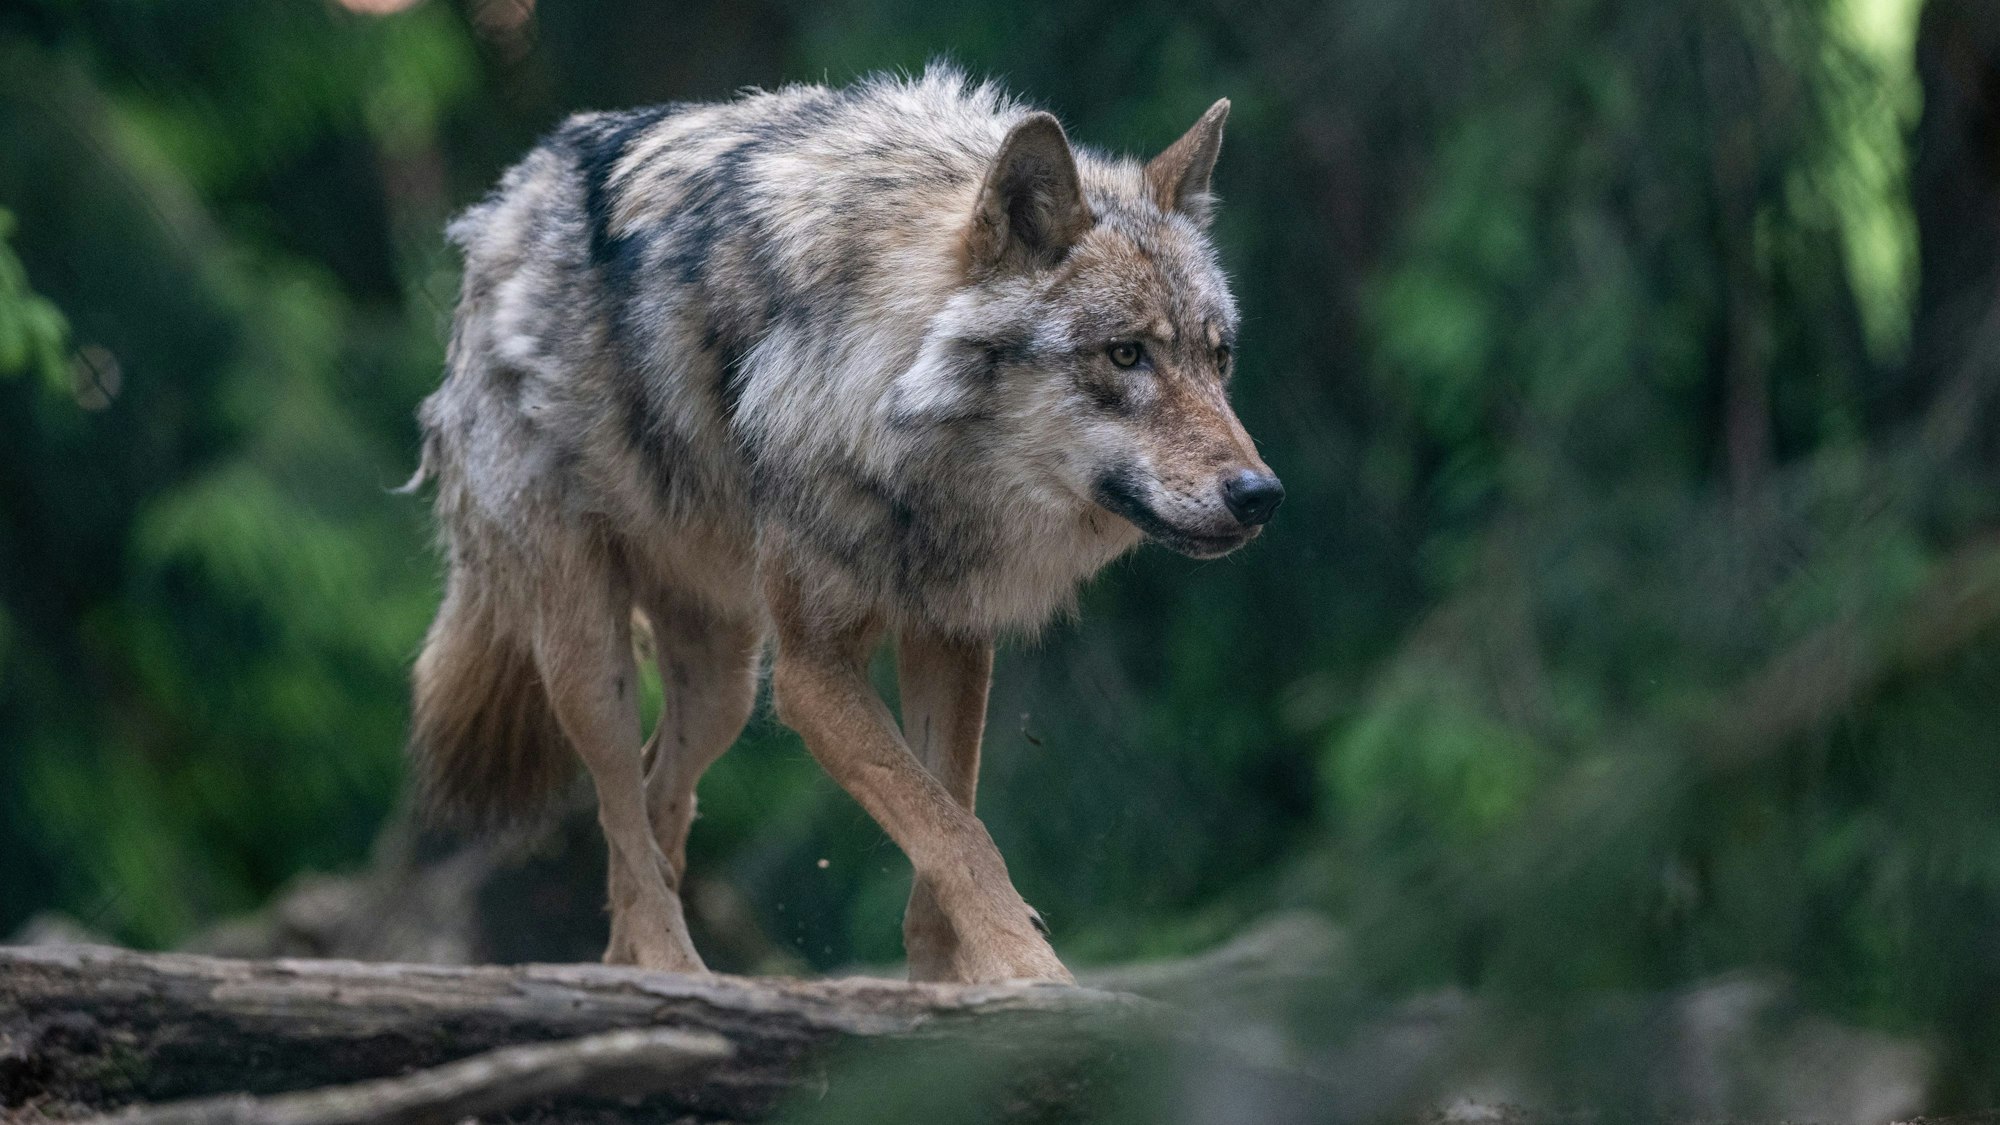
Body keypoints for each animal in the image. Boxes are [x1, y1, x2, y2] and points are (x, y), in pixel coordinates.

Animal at [407, 68, 1283, 985]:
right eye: (1124, 355)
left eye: (1218, 358)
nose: (1261, 493)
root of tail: (503, 204)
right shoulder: (811, 672)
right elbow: (954, 831)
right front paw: (1029, 970)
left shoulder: (949, 636)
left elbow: (948, 816)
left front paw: (948, 983)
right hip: (594, 656)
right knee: (621, 810)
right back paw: (671, 968)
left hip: (722, 684)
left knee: (655, 806)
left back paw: (639, 967)